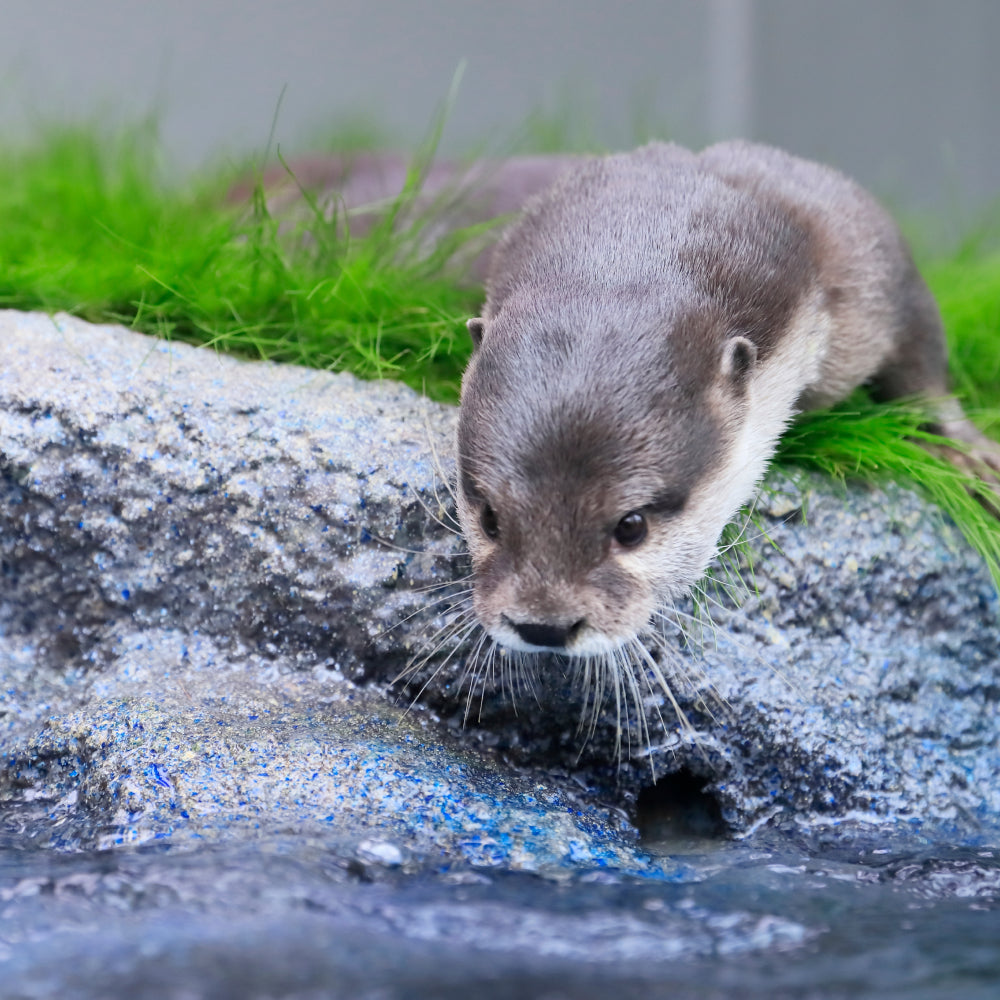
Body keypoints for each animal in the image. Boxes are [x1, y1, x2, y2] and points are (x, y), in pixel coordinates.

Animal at [458, 141, 1000, 656]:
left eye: (631, 526)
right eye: (489, 518)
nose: (543, 626)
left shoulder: (869, 257)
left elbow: (922, 357)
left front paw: (969, 455)